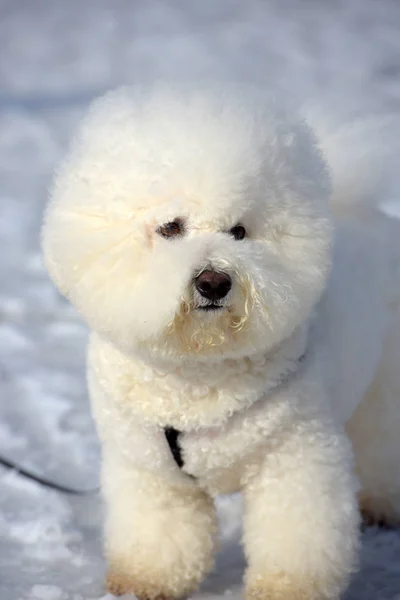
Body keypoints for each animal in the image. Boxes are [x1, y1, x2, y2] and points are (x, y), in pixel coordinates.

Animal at [42, 83, 400, 600]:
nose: (214, 282)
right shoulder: (149, 469)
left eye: (240, 231)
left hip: (383, 386)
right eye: (171, 227)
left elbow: (296, 538)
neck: (197, 371)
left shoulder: (294, 456)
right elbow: (159, 532)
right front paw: (146, 579)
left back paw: (380, 503)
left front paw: (287, 589)